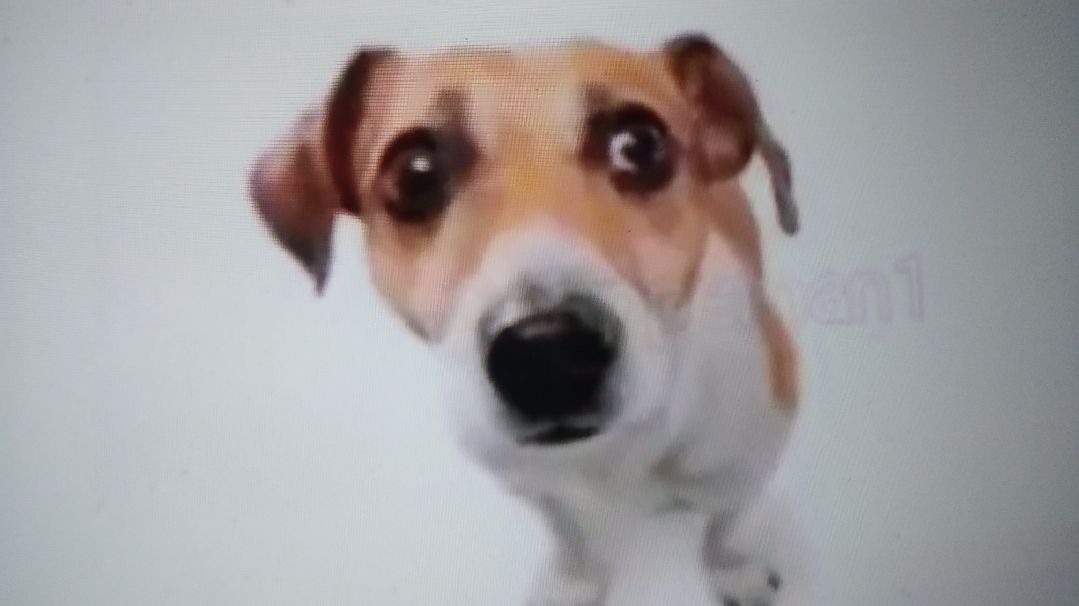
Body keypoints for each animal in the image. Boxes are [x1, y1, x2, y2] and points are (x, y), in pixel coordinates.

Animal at [249, 32, 800, 606]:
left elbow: (721, 531)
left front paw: (733, 571)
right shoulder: (533, 487)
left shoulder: (742, 472)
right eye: (415, 173)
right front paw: (576, 581)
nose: (547, 353)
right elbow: (569, 534)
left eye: (640, 146)